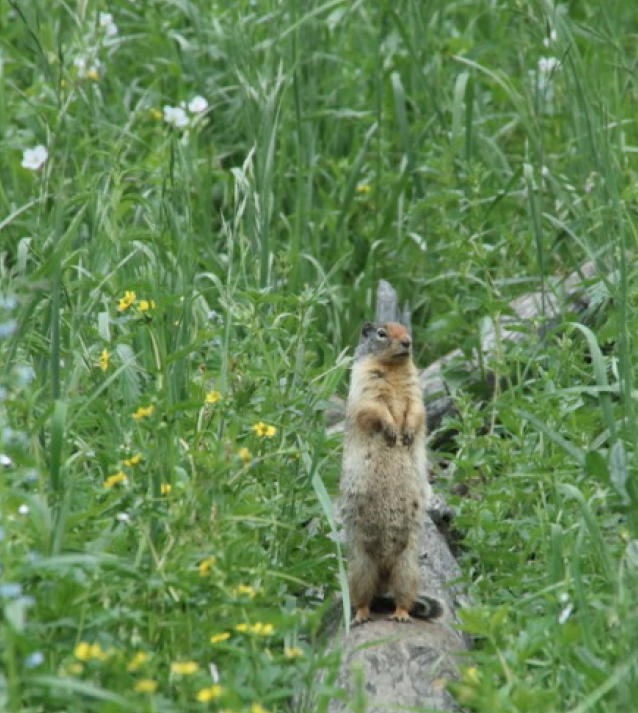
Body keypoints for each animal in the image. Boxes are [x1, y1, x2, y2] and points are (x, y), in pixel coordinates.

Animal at [340, 322, 440, 624]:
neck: (394, 368)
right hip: (360, 567)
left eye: (407, 328)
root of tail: (384, 574)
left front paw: (406, 432)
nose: (408, 342)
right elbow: (375, 408)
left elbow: (416, 411)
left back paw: (401, 614)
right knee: (364, 597)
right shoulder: (364, 384)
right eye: (381, 333)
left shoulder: (415, 391)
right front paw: (393, 430)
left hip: (407, 568)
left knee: (402, 596)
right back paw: (362, 615)